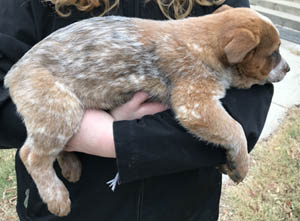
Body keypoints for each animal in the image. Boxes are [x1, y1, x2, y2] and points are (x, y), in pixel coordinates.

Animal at [4, 4, 288, 216]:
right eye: (273, 53)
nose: (288, 68)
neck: (207, 41)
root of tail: (13, 73)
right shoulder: (195, 104)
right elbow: (235, 128)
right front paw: (241, 164)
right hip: (61, 108)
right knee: (32, 154)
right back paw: (57, 197)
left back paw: (70, 165)